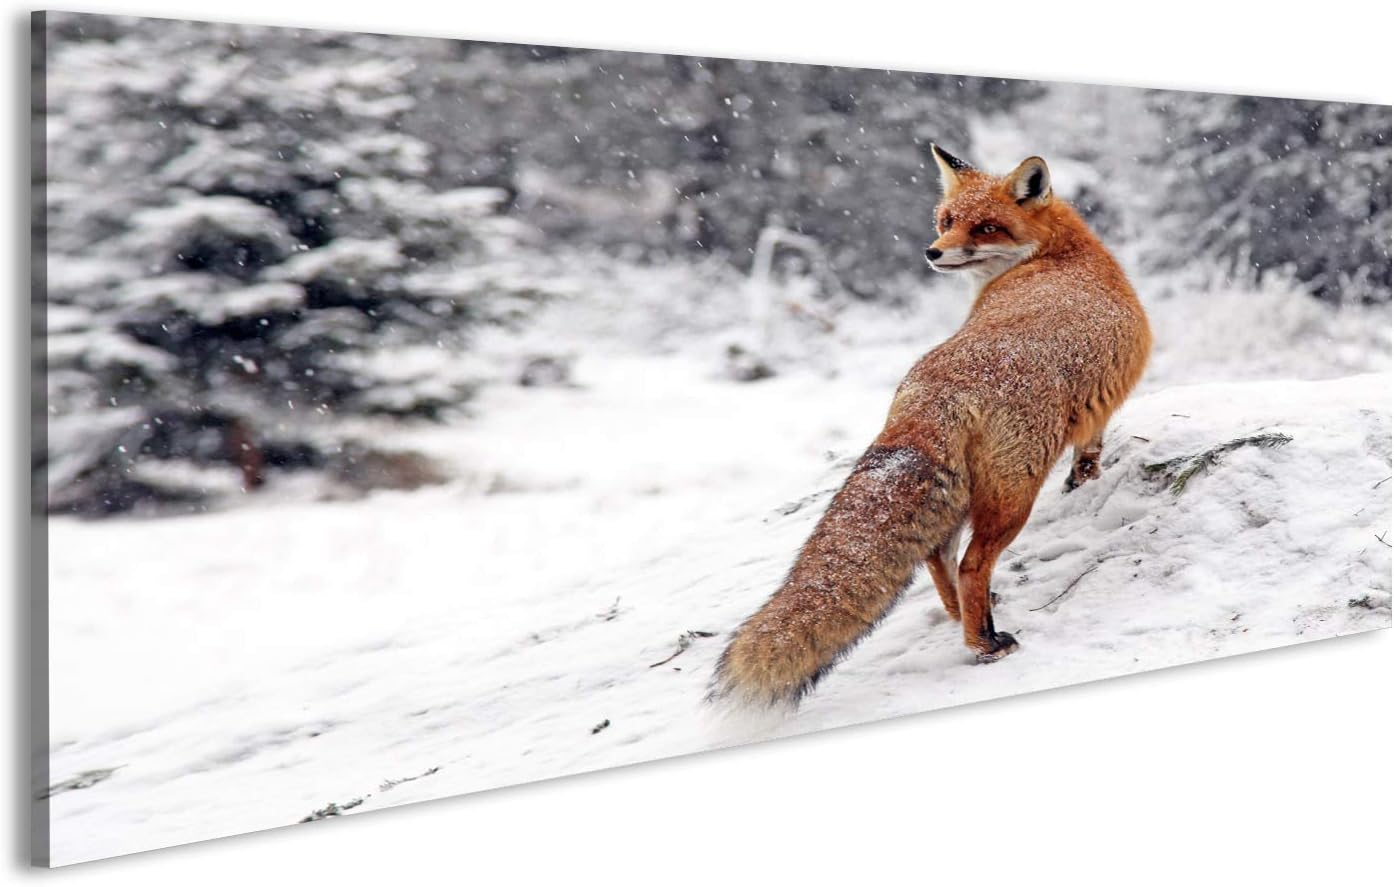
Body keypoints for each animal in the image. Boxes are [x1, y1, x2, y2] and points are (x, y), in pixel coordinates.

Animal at [709, 145, 1151, 709]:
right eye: (947, 221)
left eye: (984, 227)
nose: (933, 252)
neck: (1060, 256)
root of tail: (938, 390)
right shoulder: (1099, 411)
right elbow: (1091, 454)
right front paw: (1085, 482)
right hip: (1013, 493)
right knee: (969, 563)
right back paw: (985, 643)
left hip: (964, 494)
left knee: (936, 556)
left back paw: (961, 616)